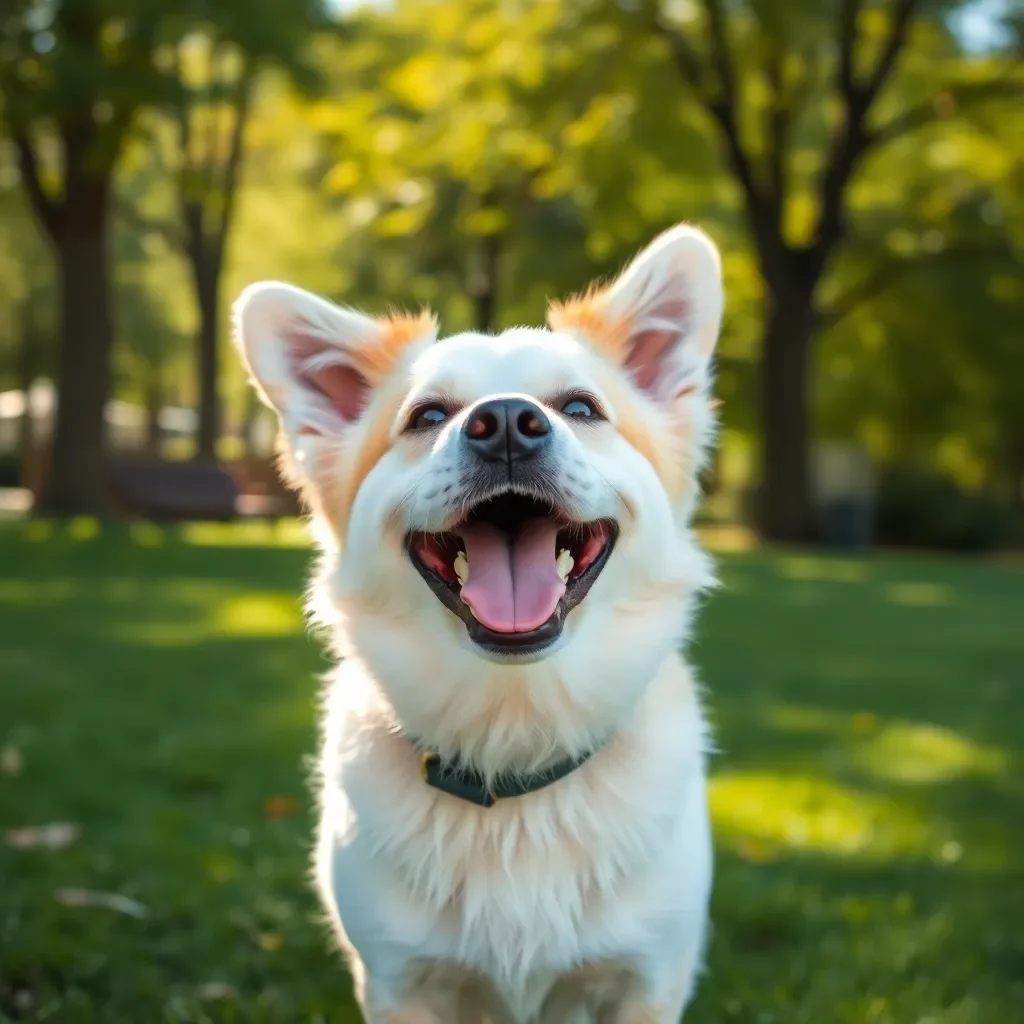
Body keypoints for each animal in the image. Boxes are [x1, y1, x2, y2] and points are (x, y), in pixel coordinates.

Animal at [234, 226, 724, 1024]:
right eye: (428, 417)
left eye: (580, 407)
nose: (506, 425)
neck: (514, 735)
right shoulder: (398, 984)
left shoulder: (647, 982)